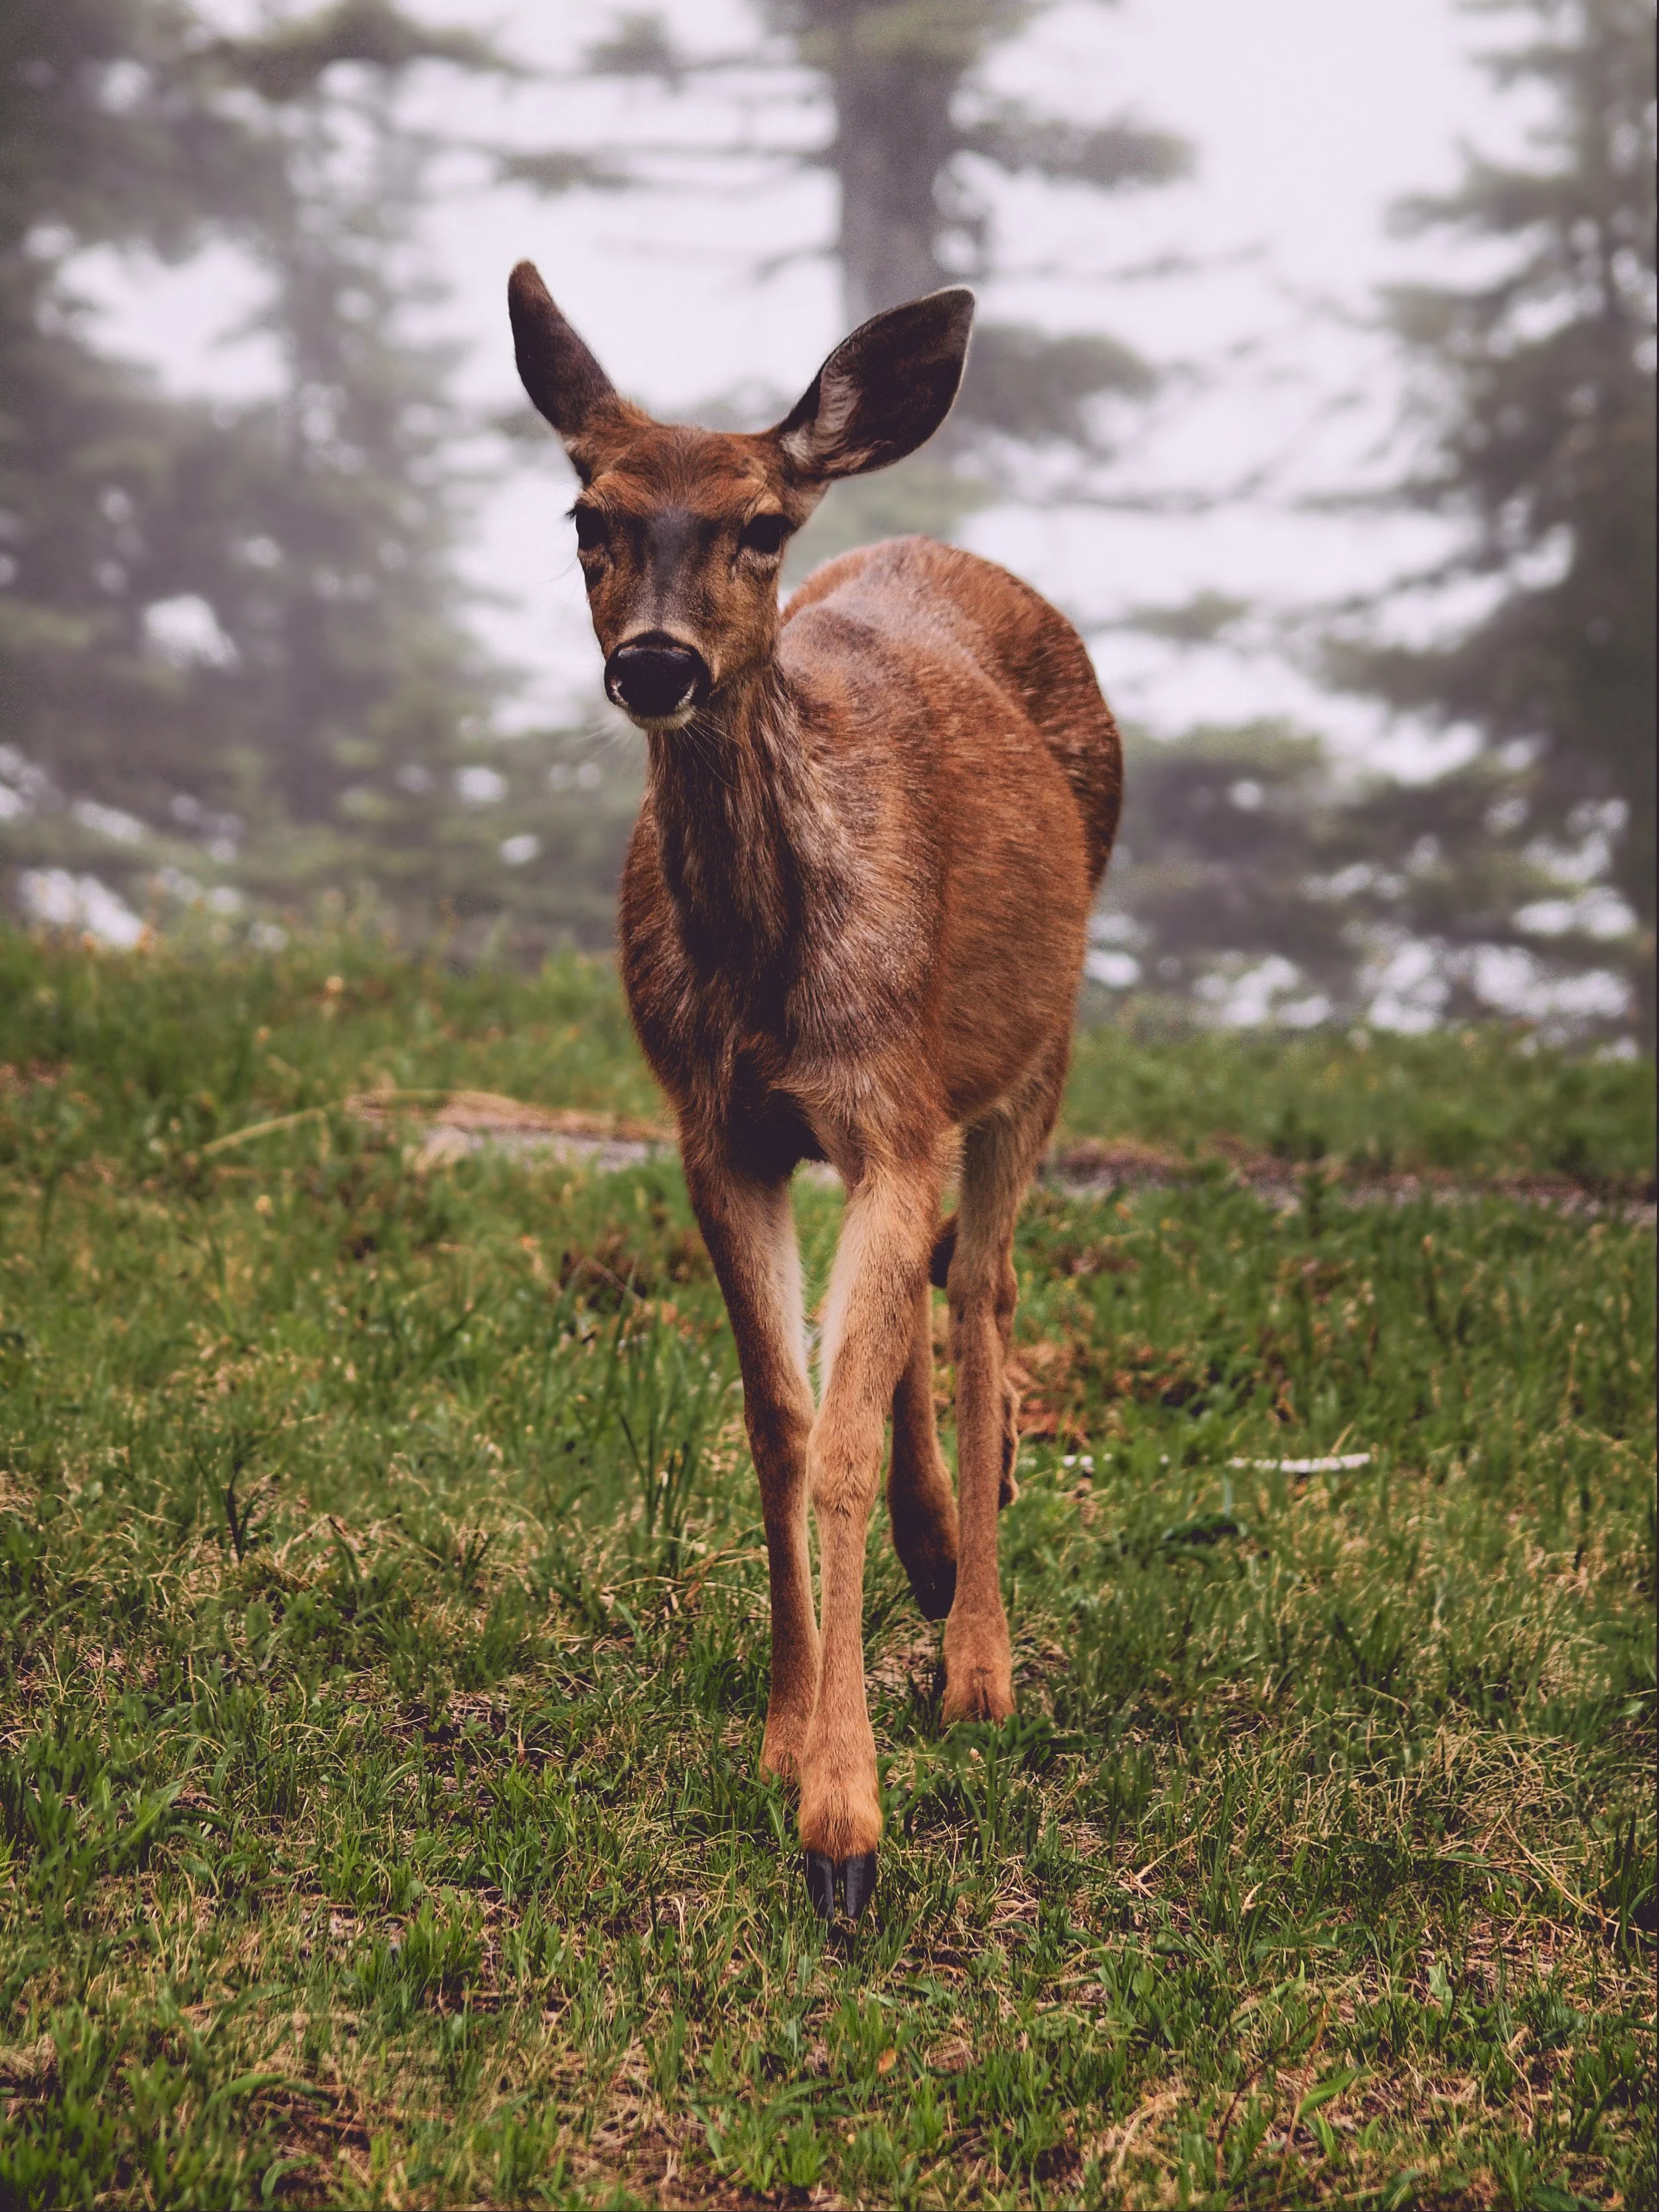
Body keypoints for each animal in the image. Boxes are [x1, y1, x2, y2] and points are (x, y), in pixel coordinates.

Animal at [509, 261, 1121, 1920]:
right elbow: (782, 1419)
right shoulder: (715, 1128)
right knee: (917, 1301)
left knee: (977, 1289)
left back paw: (975, 1648)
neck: (769, 977)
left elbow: (839, 1431)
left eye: (760, 526)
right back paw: (932, 1554)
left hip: (1033, 1047)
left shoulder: (894, 1106)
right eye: (586, 512)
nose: (656, 661)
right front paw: (788, 1735)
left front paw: (844, 1824)